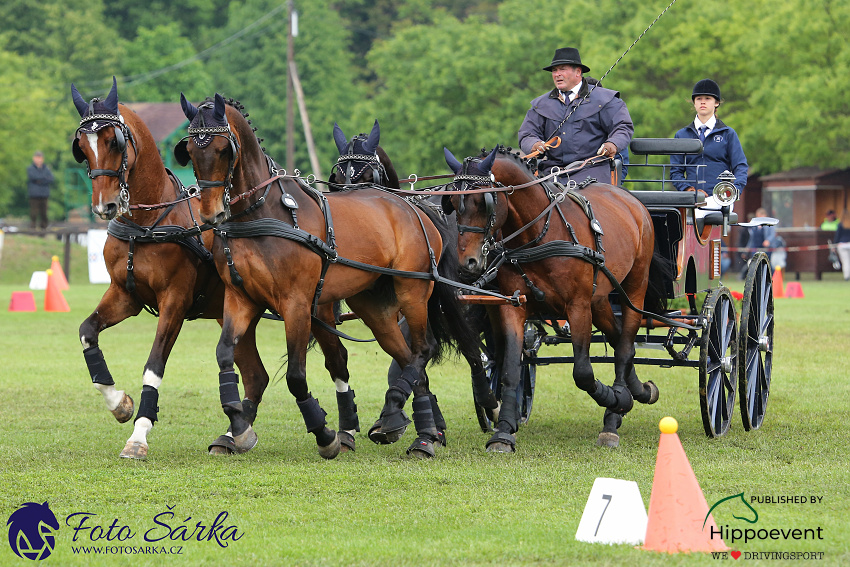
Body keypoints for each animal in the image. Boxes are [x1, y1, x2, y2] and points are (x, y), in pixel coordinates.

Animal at [72, 80, 278, 460]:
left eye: (114, 141)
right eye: (81, 146)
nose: (105, 205)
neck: (145, 223)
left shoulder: (175, 301)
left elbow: (154, 366)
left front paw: (138, 436)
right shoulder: (125, 296)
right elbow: (87, 332)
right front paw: (119, 403)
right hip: (234, 312)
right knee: (256, 375)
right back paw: (235, 434)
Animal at [174, 93, 476, 458]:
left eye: (222, 149)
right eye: (191, 151)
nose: (210, 213)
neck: (261, 214)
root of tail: (412, 206)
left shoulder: (297, 304)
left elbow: (296, 376)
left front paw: (324, 433)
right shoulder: (241, 298)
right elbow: (224, 355)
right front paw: (238, 426)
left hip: (412, 291)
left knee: (422, 349)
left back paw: (422, 434)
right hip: (372, 303)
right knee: (406, 356)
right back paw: (421, 427)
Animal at [440, 148, 664, 452]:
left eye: (483, 202)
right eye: (452, 202)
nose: (468, 264)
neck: (538, 236)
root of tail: (631, 201)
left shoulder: (578, 306)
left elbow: (582, 372)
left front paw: (616, 399)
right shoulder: (514, 306)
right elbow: (510, 367)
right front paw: (504, 431)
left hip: (634, 287)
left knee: (625, 344)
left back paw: (614, 414)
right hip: (599, 300)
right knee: (620, 341)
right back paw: (637, 393)